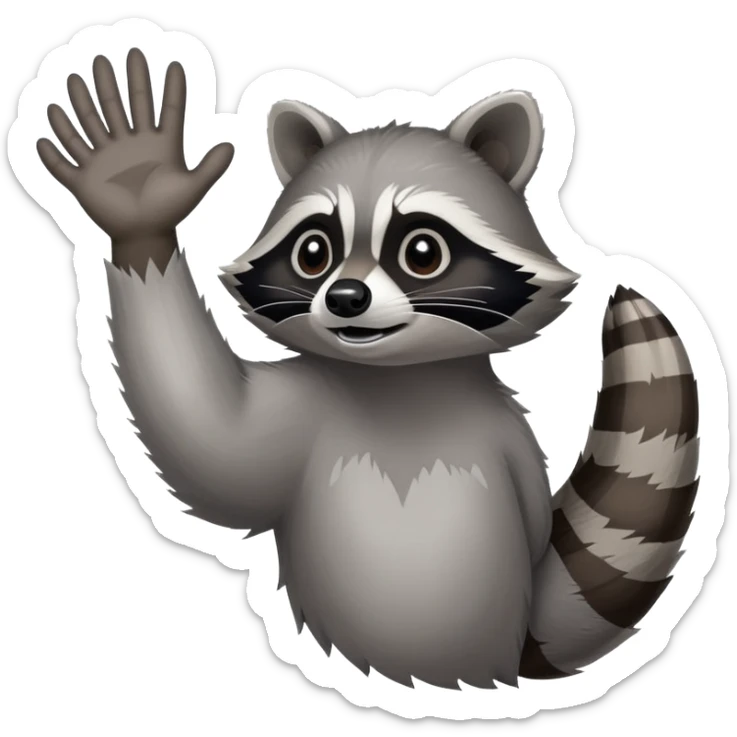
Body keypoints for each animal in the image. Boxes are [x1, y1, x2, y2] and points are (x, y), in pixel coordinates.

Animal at [38, 49, 699, 690]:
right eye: (314, 252)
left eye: (422, 252)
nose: (345, 297)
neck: (395, 383)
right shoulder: (303, 407)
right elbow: (215, 445)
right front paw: (138, 203)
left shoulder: (505, 438)